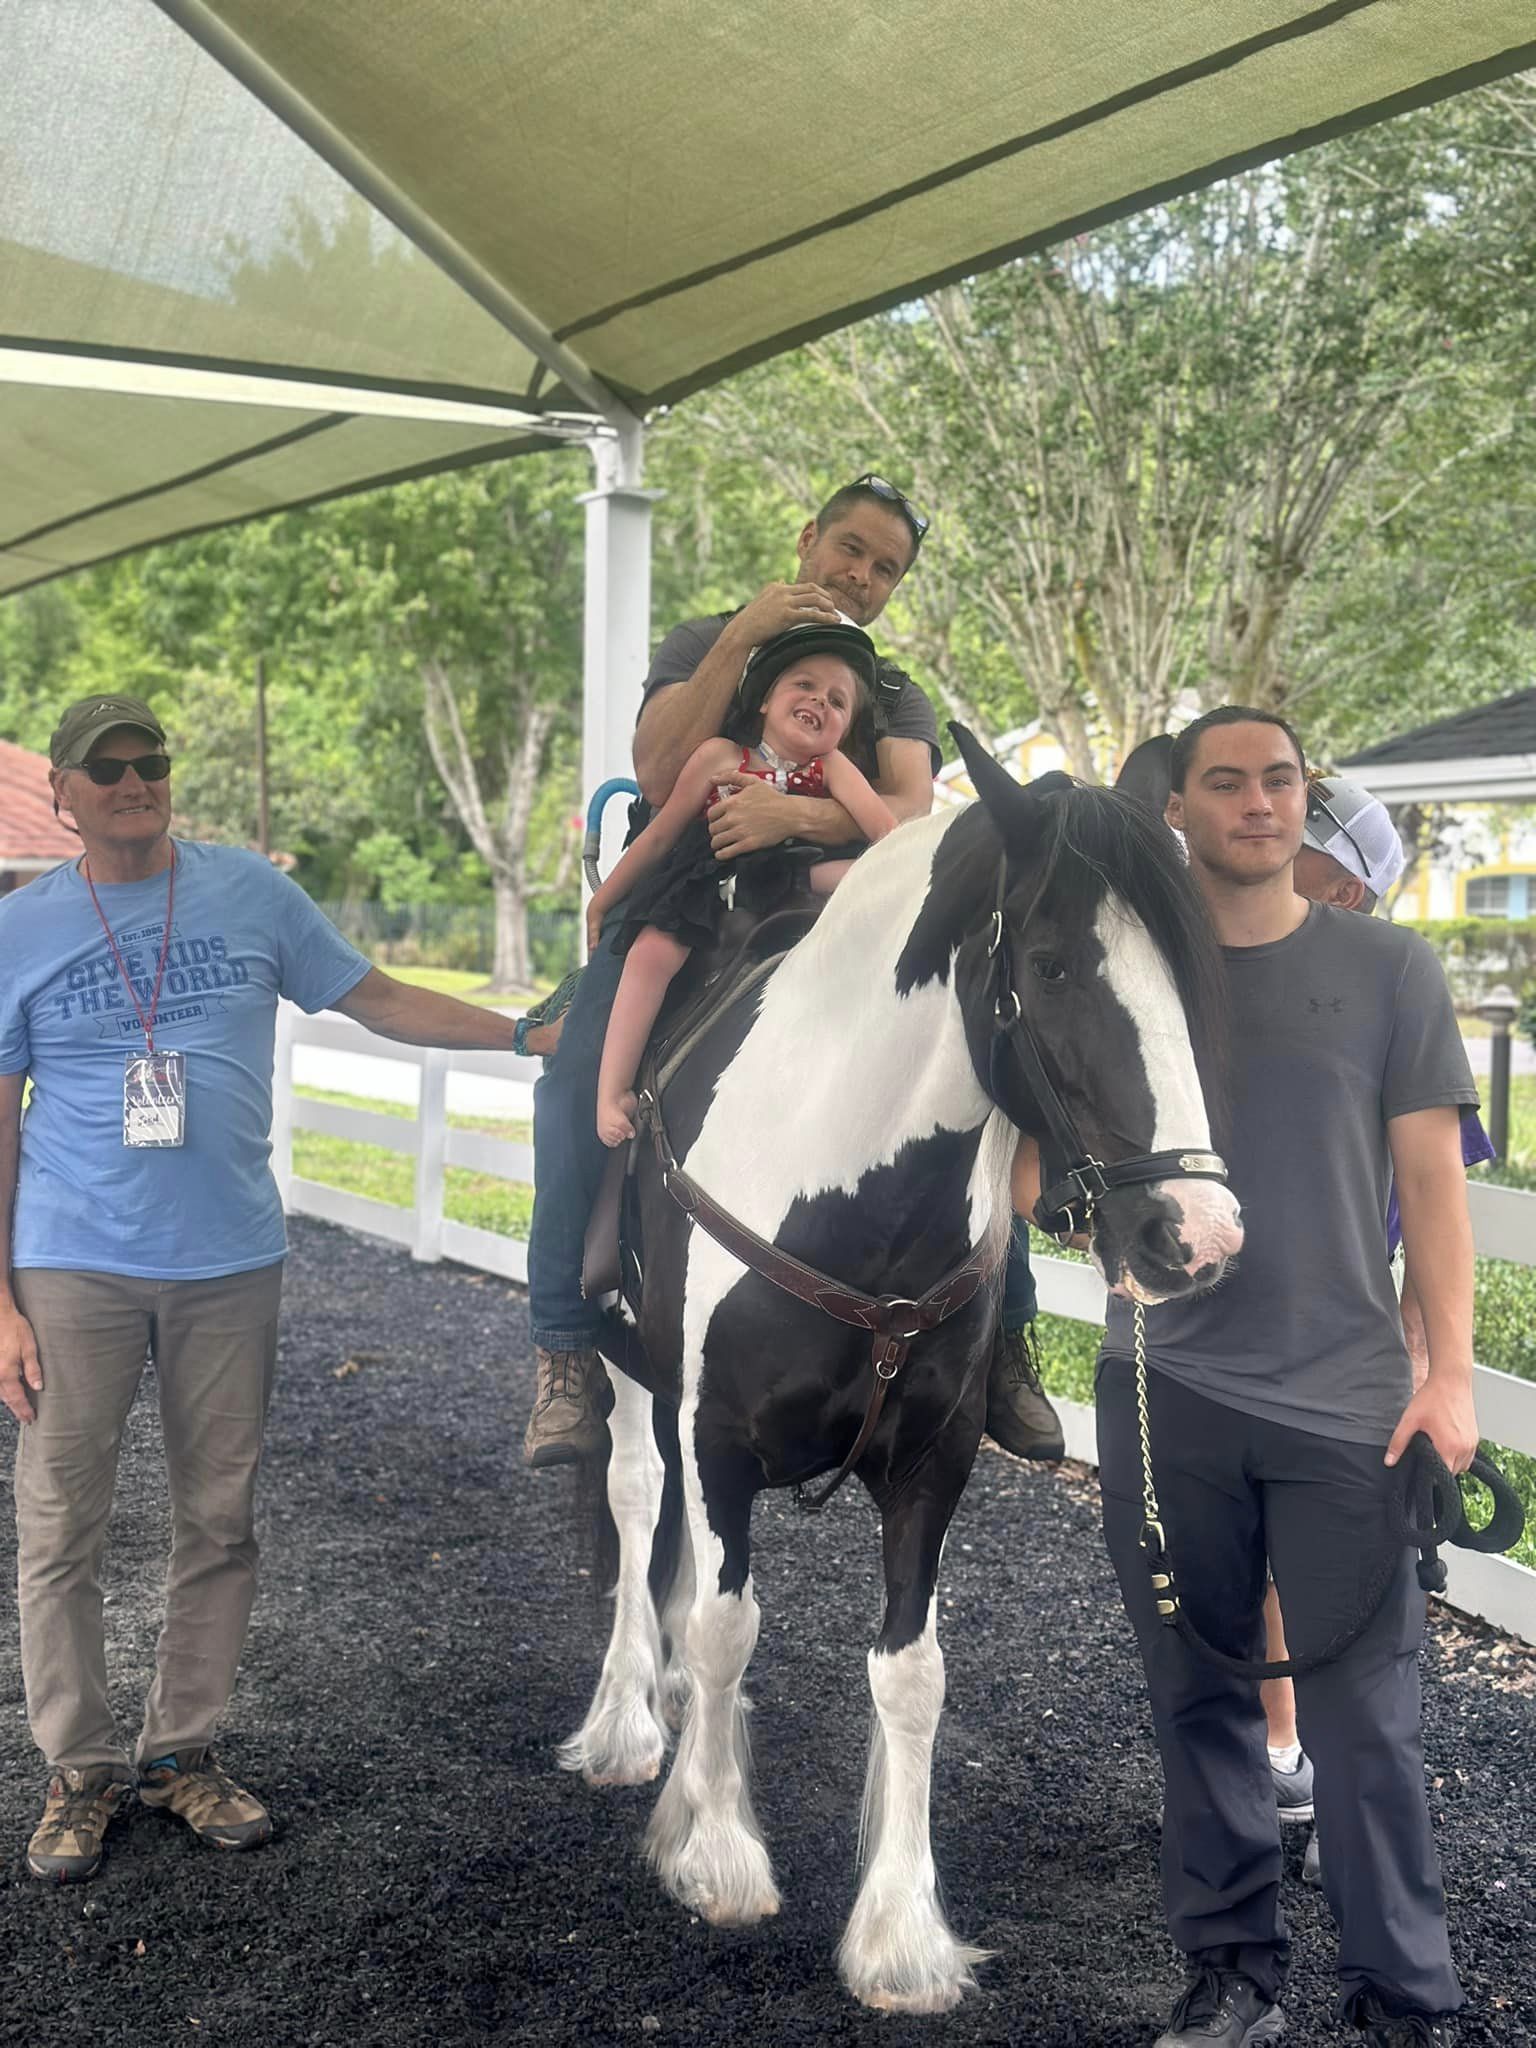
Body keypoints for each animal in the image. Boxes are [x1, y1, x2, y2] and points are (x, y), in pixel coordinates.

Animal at [561, 737, 1245, 2015]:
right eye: (1052, 964)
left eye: (1184, 978)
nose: (1201, 1233)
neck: (843, 1185)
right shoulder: (718, 1435)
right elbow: (725, 1625)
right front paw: (716, 1852)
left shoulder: (934, 1460)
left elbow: (911, 1670)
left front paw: (900, 1936)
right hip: (630, 1376)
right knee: (635, 1502)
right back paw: (629, 1721)